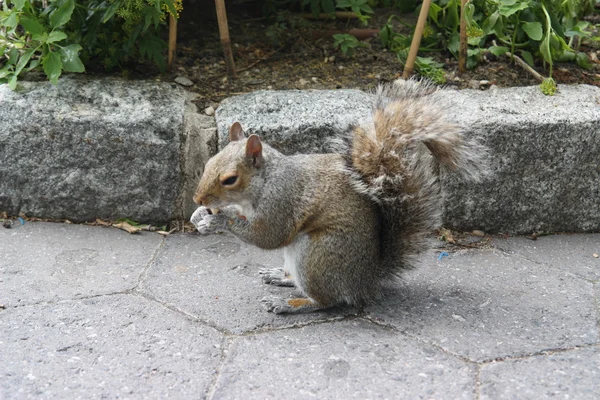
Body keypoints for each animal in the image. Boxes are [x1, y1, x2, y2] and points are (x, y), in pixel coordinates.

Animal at [192, 79, 488, 314]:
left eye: (230, 179)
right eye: (209, 163)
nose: (198, 199)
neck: (265, 182)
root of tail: (366, 281)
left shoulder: (282, 200)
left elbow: (269, 236)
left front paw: (219, 221)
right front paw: (200, 217)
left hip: (318, 255)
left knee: (327, 300)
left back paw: (289, 304)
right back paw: (281, 276)